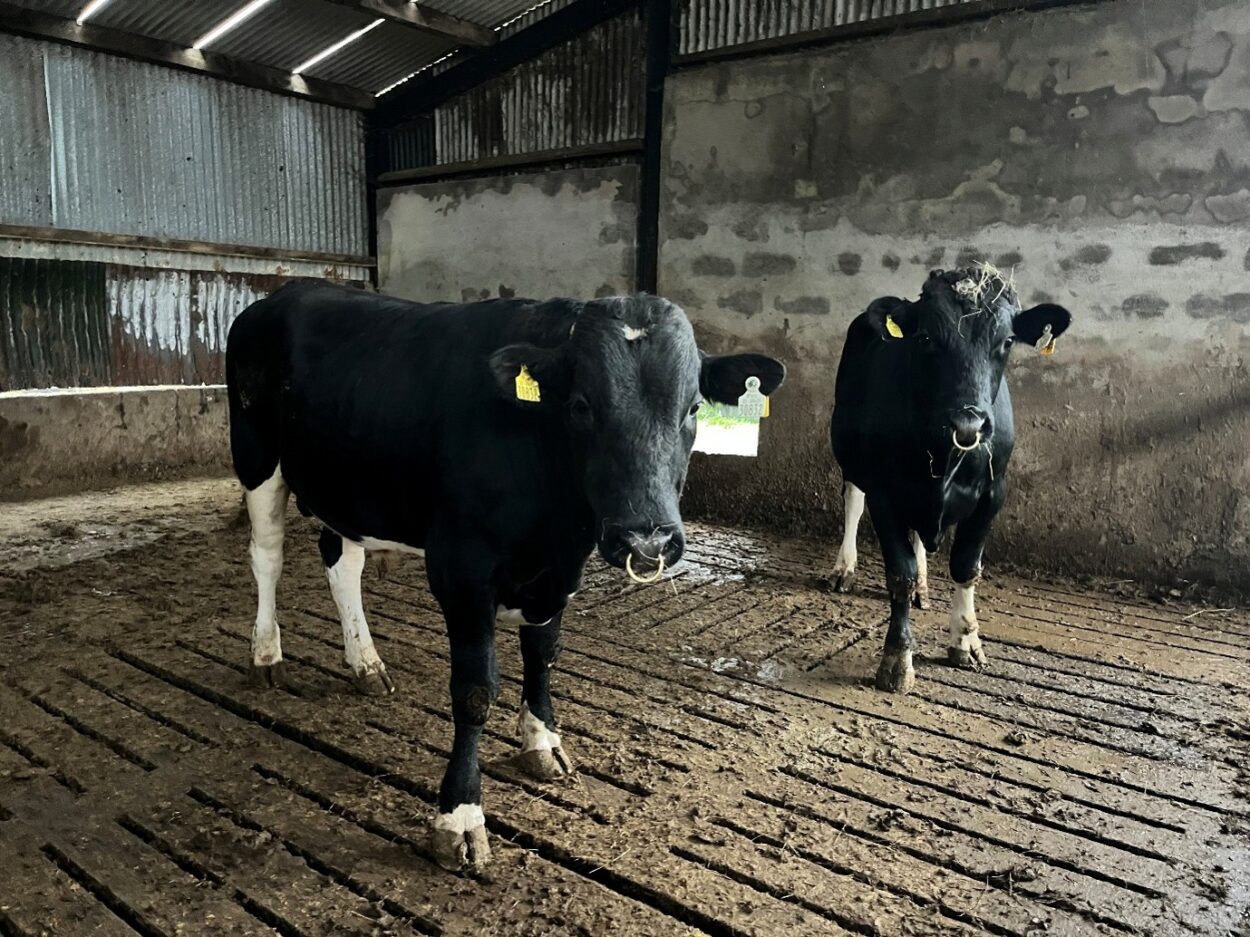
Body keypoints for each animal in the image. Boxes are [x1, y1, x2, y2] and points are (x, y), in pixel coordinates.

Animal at [225, 280, 785, 871]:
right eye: (580, 405)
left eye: (693, 407)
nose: (646, 538)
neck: (552, 516)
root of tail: (290, 290)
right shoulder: (461, 570)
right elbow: (474, 691)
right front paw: (460, 817)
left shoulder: (559, 570)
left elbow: (543, 656)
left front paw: (541, 742)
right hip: (256, 457)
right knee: (267, 555)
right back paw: (266, 656)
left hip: (349, 487)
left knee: (341, 559)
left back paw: (366, 664)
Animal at [829, 266, 1071, 692]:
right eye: (925, 338)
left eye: (1007, 340)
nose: (968, 422)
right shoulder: (884, 490)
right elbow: (900, 573)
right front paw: (897, 659)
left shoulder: (994, 490)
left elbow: (965, 566)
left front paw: (966, 641)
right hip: (851, 455)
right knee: (852, 502)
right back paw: (845, 569)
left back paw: (926, 588)